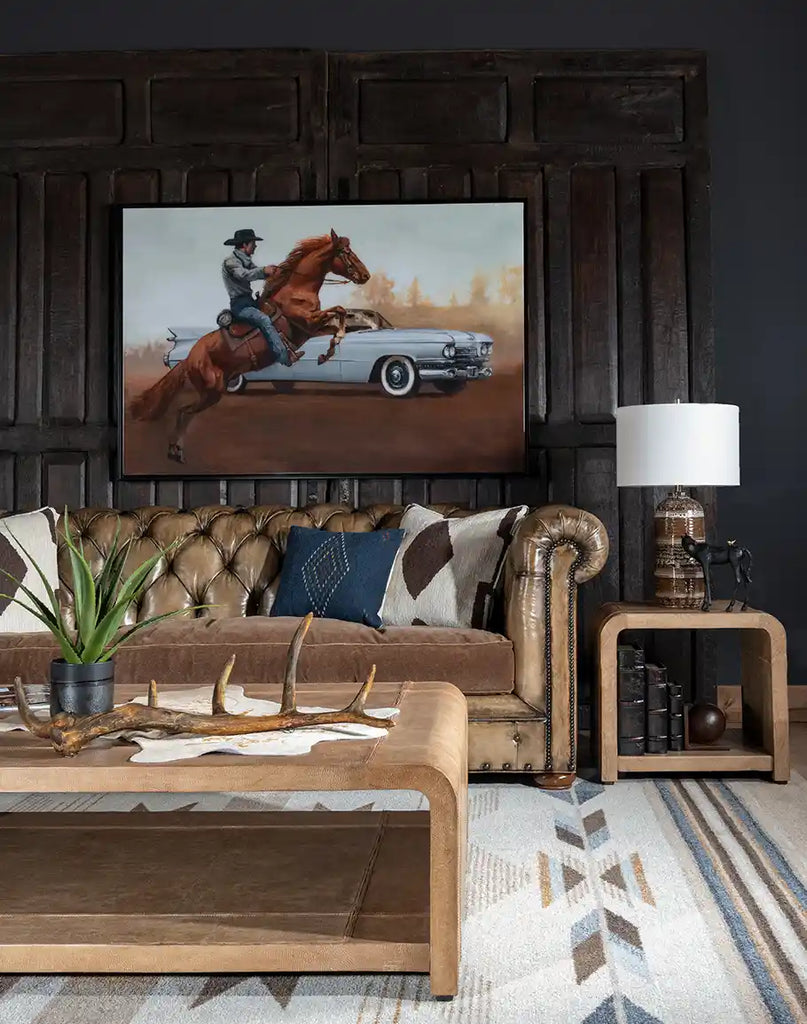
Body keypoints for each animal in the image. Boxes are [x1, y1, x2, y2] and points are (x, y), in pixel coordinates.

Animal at [130, 231, 370, 464]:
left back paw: (175, 451)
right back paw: (175, 450)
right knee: (184, 411)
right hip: (211, 391)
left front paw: (327, 352)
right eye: (346, 252)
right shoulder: (309, 321)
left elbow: (337, 323)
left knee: (184, 412)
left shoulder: (310, 330)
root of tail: (190, 357)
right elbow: (339, 310)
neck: (297, 290)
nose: (366, 276)